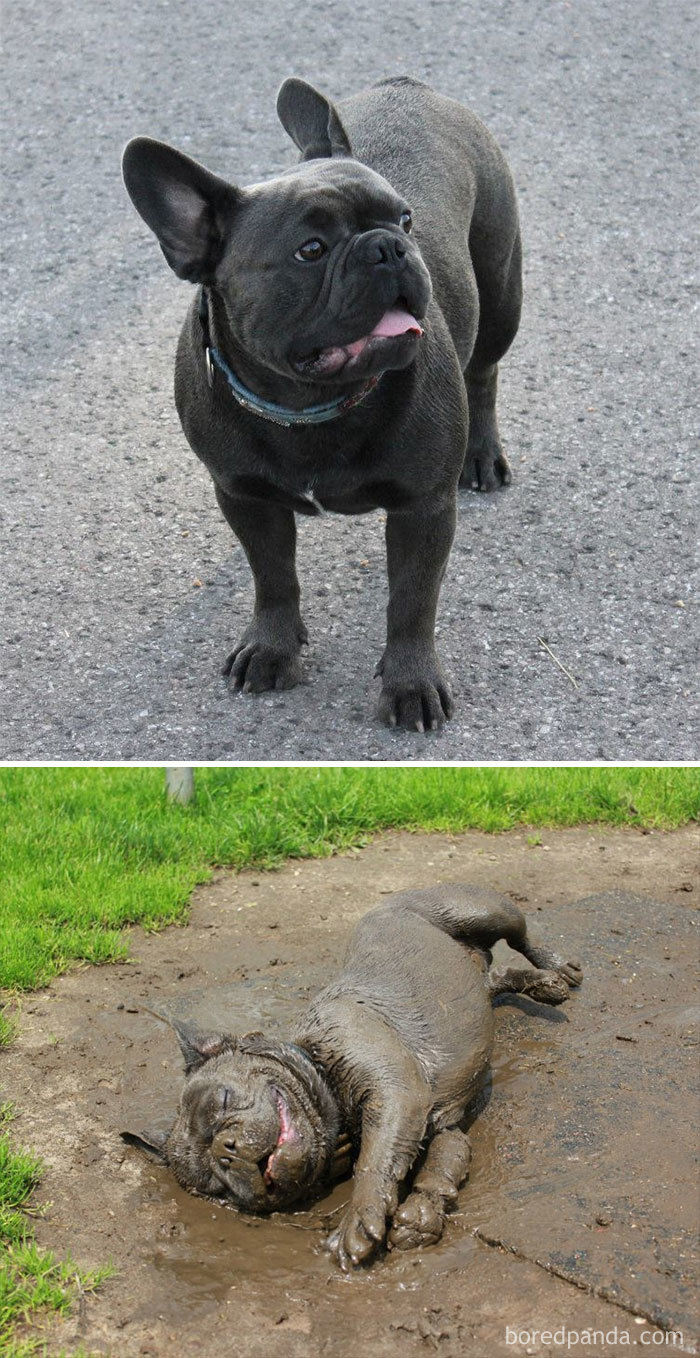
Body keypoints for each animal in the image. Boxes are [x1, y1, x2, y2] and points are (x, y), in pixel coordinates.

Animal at [123, 885, 584, 1265]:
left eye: (222, 1101)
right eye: (213, 1183)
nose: (226, 1150)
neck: (321, 1077)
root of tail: (390, 899)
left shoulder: (397, 1095)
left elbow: (376, 1161)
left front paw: (358, 1220)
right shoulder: (441, 1125)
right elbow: (443, 1167)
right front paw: (420, 1217)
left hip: (481, 910)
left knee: (520, 937)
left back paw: (558, 968)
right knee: (494, 978)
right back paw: (542, 984)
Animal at [124, 77, 519, 733]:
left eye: (406, 219)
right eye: (310, 250)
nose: (389, 246)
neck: (309, 406)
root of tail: (407, 85)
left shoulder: (423, 509)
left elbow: (412, 600)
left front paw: (411, 684)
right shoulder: (243, 495)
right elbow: (273, 576)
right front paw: (272, 648)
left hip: (500, 287)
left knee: (484, 370)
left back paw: (483, 454)